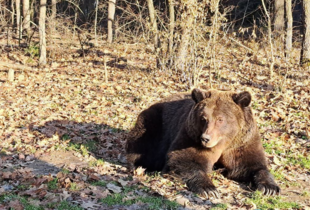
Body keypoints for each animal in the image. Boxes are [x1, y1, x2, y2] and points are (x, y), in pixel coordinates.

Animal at [126, 88, 280, 197]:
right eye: (203, 118)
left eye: (220, 119)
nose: (205, 138)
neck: (224, 143)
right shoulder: (190, 135)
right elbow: (185, 160)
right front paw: (209, 188)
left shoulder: (243, 143)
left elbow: (251, 165)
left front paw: (269, 188)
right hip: (155, 123)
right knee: (143, 145)